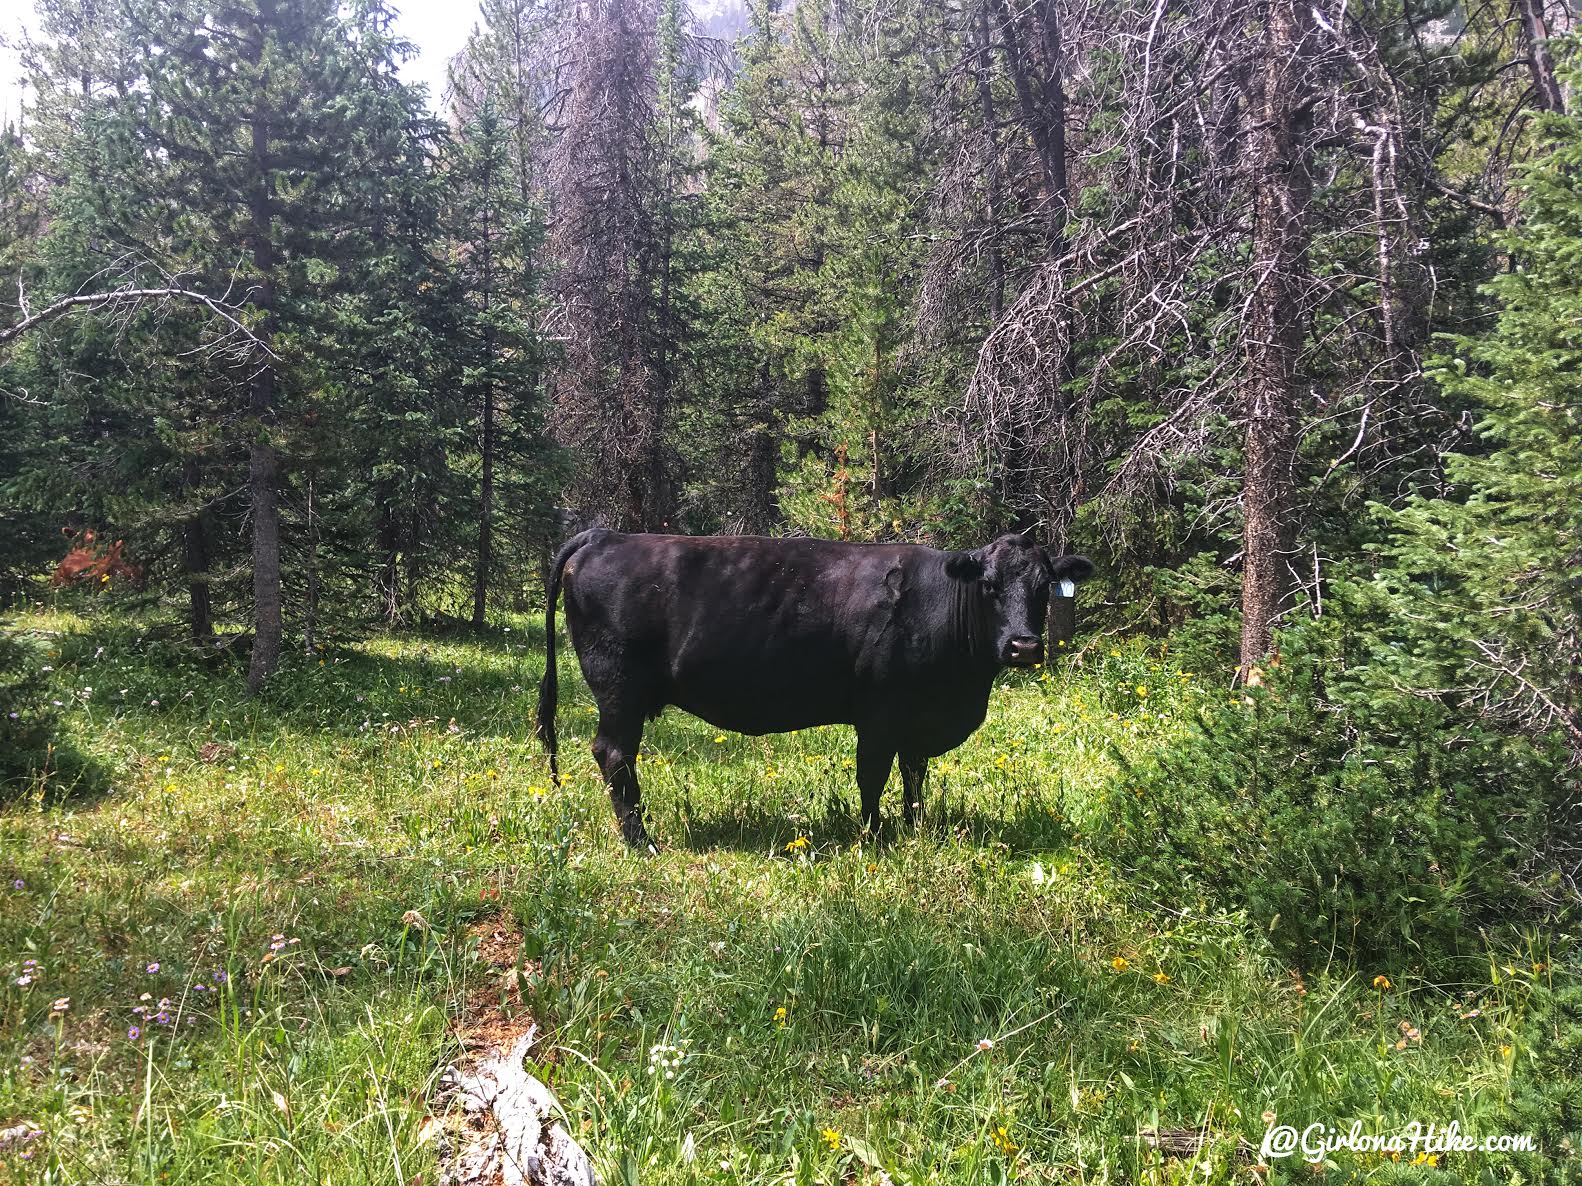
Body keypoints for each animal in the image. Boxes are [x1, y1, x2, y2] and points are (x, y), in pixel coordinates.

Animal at [537, 531, 1094, 853]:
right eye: (989, 586)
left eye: (1044, 587)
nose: (1024, 645)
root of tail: (605, 534)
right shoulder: (880, 713)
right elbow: (872, 777)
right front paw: (873, 838)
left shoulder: (917, 720)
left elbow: (914, 778)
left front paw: (914, 827)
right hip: (618, 689)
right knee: (614, 754)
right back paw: (641, 842)